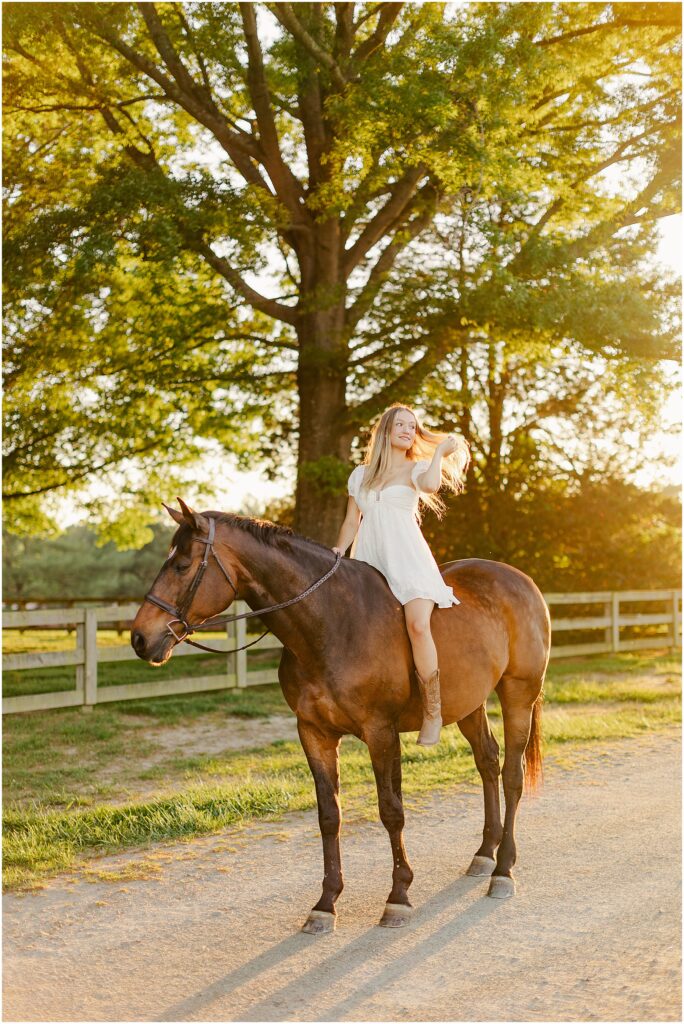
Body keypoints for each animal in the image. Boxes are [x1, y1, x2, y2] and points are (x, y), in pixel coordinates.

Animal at [132, 499, 548, 933]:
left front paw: (398, 896)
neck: (331, 624)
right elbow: (329, 815)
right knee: (487, 761)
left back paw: (503, 869)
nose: (140, 638)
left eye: (182, 565)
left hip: (518, 695)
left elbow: (391, 811)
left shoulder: (380, 733)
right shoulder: (314, 732)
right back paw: (485, 853)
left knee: (512, 775)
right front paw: (326, 902)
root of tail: (521, 580)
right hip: (469, 704)